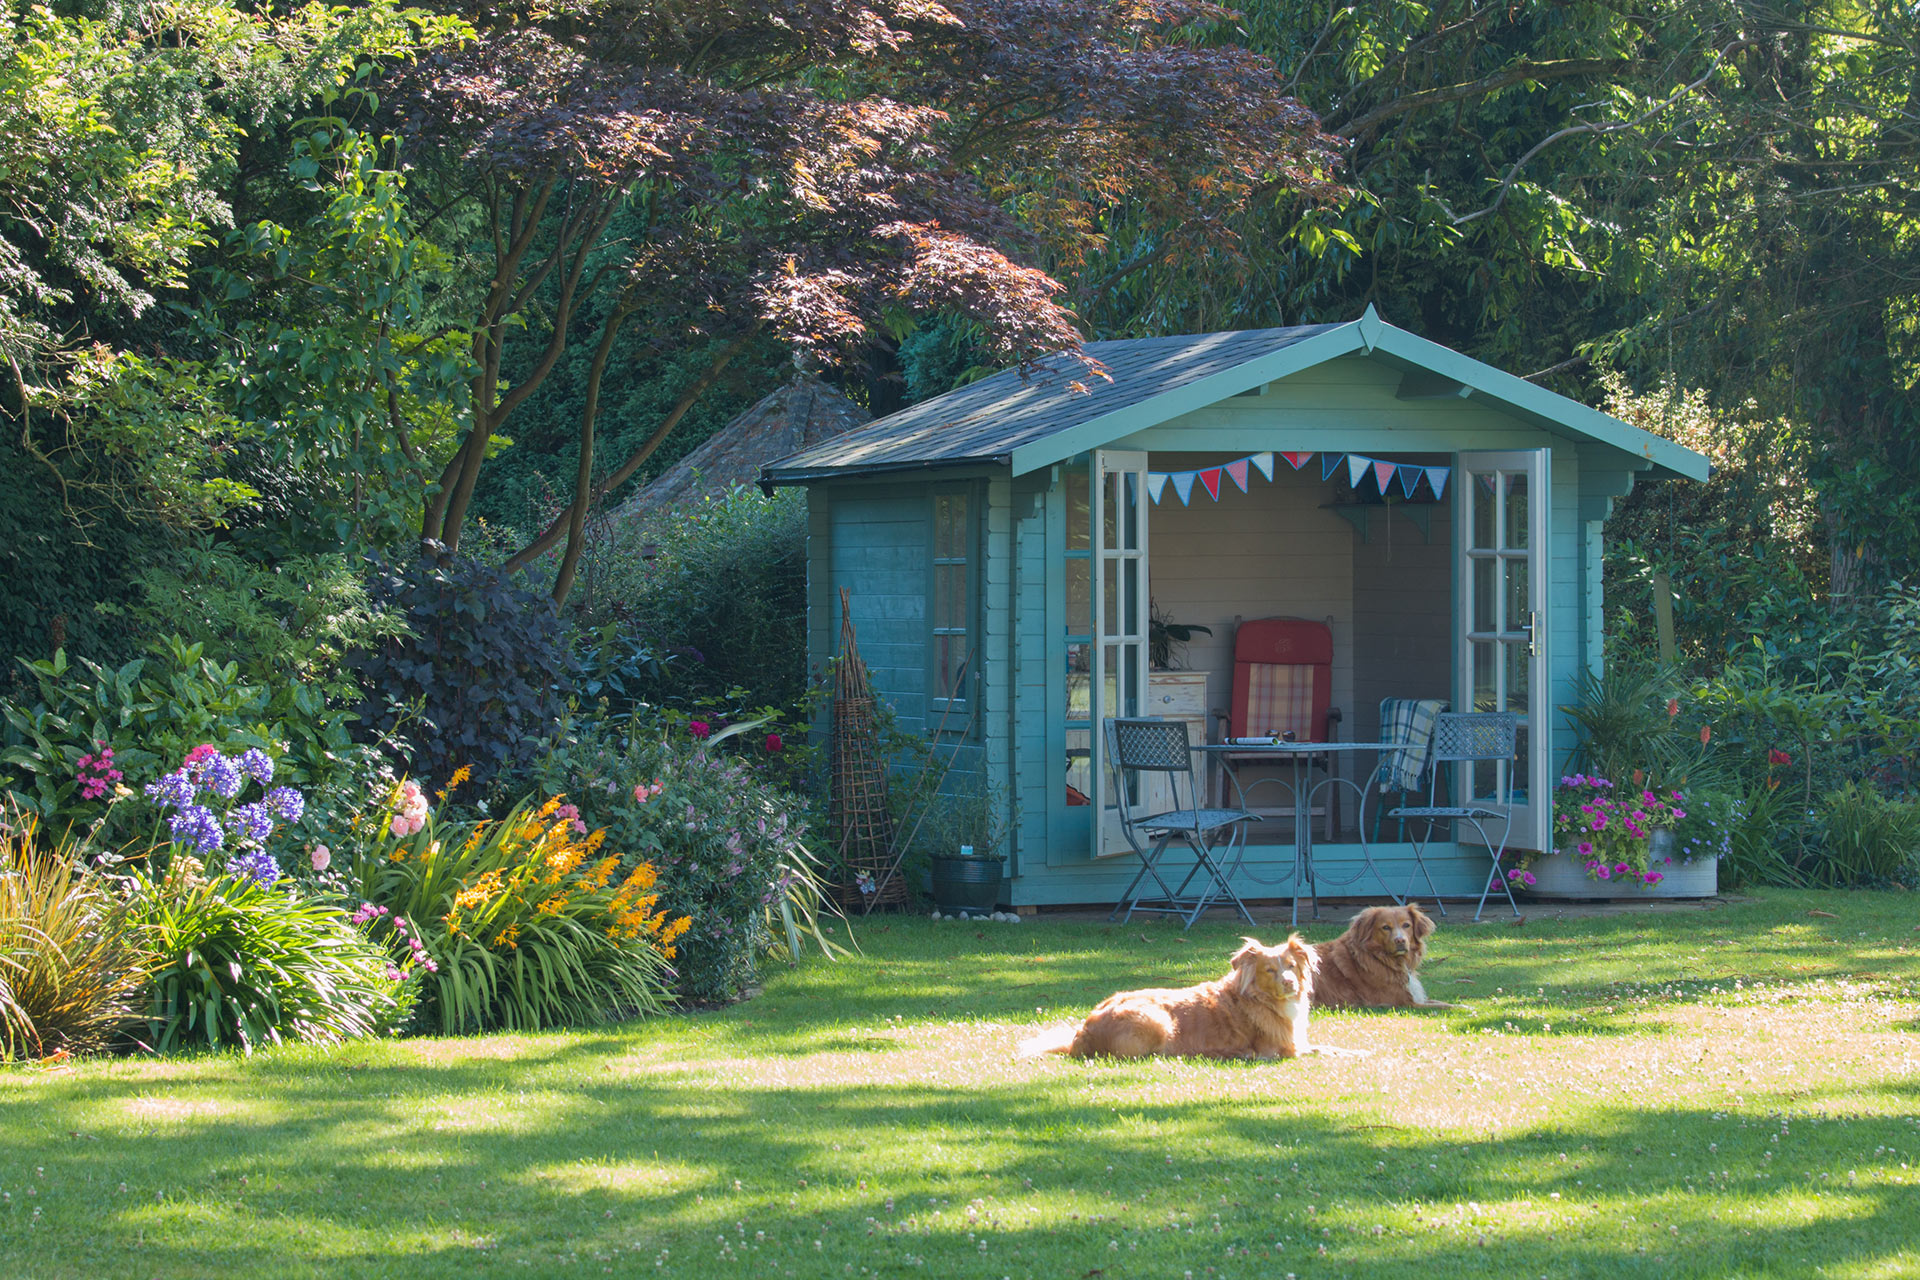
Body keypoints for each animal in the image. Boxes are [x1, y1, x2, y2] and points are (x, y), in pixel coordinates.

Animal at [1021, 932, 1367, 1059]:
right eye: (1270, 970)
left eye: (1292, 966)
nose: (1290, 984)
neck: (1261, 999)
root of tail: (1081, 1034)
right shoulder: (1282, 1050)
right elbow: (1324, 1051)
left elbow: (1327, 1046)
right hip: (1158, 1021)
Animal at [1313, 901, 1459, 1013]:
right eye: (1385, 927)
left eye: (1406, 925)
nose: (1400, 941)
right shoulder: (1405, 1003)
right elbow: (1446, 1005)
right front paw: (1463, 1008)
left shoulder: (1416, 998)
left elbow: (1439, 1001)